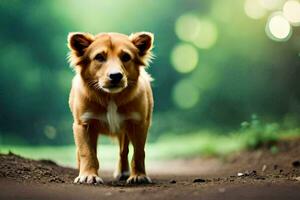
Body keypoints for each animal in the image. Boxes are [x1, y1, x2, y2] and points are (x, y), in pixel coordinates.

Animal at [66, 31, 154, 184]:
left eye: (126, 57)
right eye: (99, 57)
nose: (116, 76)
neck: (111, 97)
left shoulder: (138, 124)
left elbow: (138, 152)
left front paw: (139, 175)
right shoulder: (83, 124)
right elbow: (87, 152)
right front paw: (88, 175)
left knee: (123, 151)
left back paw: (123, 172)